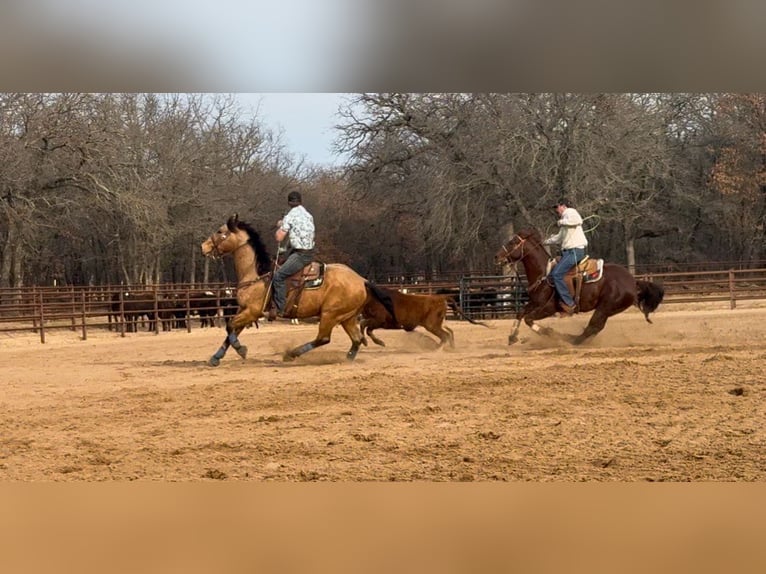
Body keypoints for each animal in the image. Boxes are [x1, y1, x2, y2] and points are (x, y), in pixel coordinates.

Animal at [200, 214, 393, 366]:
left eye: (220, 231)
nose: (204, 246)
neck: (256, 274)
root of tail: (362, 280)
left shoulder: (252, 312)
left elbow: (230, 327)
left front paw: (241, 349)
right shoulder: (243, 310)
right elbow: (231, 331)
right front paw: (216, 358)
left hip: (330, 314)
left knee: (323, 338)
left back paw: (291, 354)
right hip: (347, 317)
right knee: (356, 339)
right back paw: (347, 359)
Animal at [494, 228, 664, 345]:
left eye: (513, 242)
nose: (497, 256)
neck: (544, 273)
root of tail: (633, 281)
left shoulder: (549, 307)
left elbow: (528, 319)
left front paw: (548, 332)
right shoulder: (534, 303)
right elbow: (520, 313)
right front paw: (512, 336)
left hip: (605, 307)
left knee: (593, 326)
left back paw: (568, 339)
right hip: (607, 310)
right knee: (596, 328)